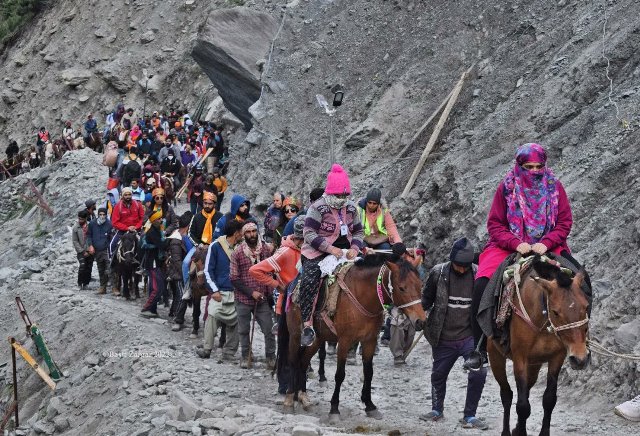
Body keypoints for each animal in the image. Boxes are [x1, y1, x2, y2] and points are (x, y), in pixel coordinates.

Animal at [278, 254, 424, 420]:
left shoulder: (369, 341)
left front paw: (370, 405)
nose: (420, 321)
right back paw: (289, 399)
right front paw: (334, 408)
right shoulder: (344, 341)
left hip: (317, 339)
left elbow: (369, 373)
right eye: (401, 288)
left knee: (303, 362)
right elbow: (340, 375)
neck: (363, 296)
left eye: (420, 285)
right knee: (293, 362)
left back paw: (303, 397)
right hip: (295, 335)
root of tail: (291, 285)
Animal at [490, 258, 592, 436]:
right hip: (494, 354)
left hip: (535, 364)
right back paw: (506, 431)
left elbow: (549, 400)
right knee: (507, 394)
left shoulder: (557, 357)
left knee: (526, 390)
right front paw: (521, 432)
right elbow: (522, 406)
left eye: (586, 306)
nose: (580, 359)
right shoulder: (520, 358)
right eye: (555, 312)